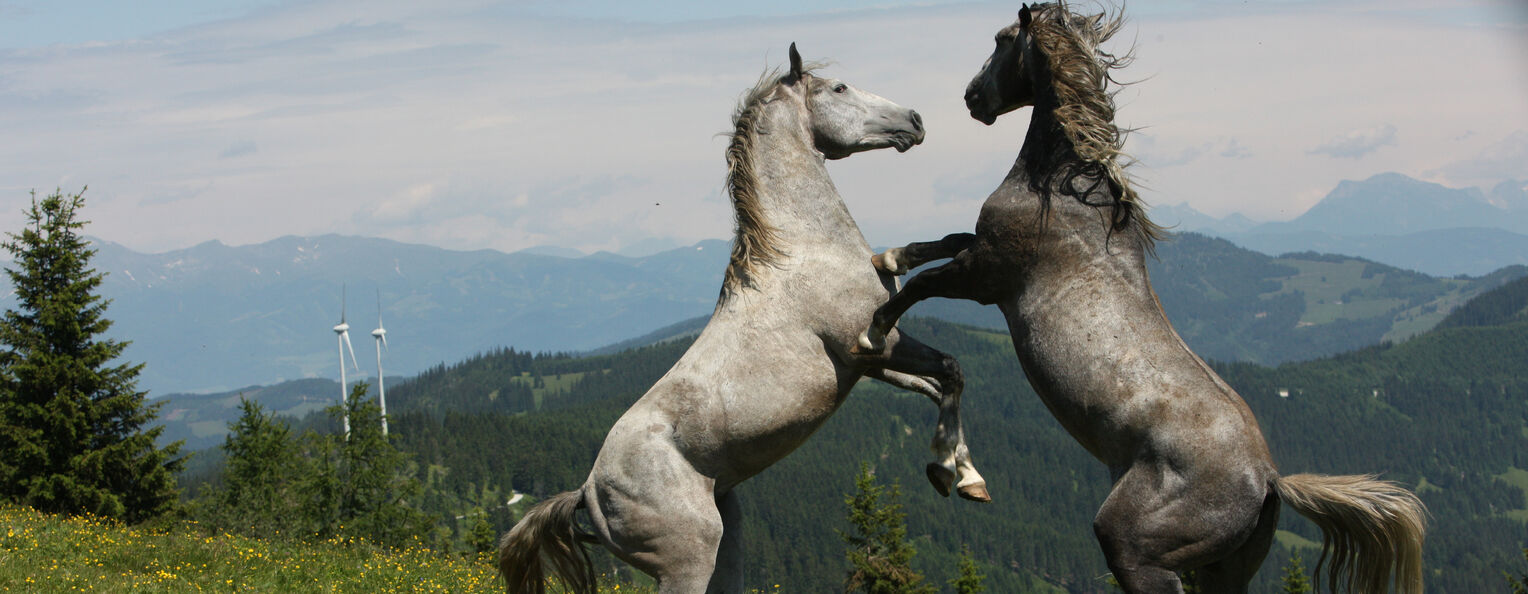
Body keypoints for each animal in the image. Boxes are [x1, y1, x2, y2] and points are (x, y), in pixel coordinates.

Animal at [495, 45, 984, 592]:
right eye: (839, 88)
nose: (915, 121)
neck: (806, 248)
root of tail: (588, 493)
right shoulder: (869, 342)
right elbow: (950, 369)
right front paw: (947, 471)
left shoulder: (869, 362)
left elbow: (940, 383)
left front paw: (966, 475)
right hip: (689, 560)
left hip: (728, 541)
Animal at [867, 5, 1424, 592]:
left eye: (1001, 40)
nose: (973, 97)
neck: (1064, 195)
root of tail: (1271, 480)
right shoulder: (980, 256)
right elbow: (944, 243)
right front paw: (888, 261)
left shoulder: (986, 276)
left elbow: (925, 285)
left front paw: (873, 330)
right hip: (1223, 571)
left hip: (1134, 548)